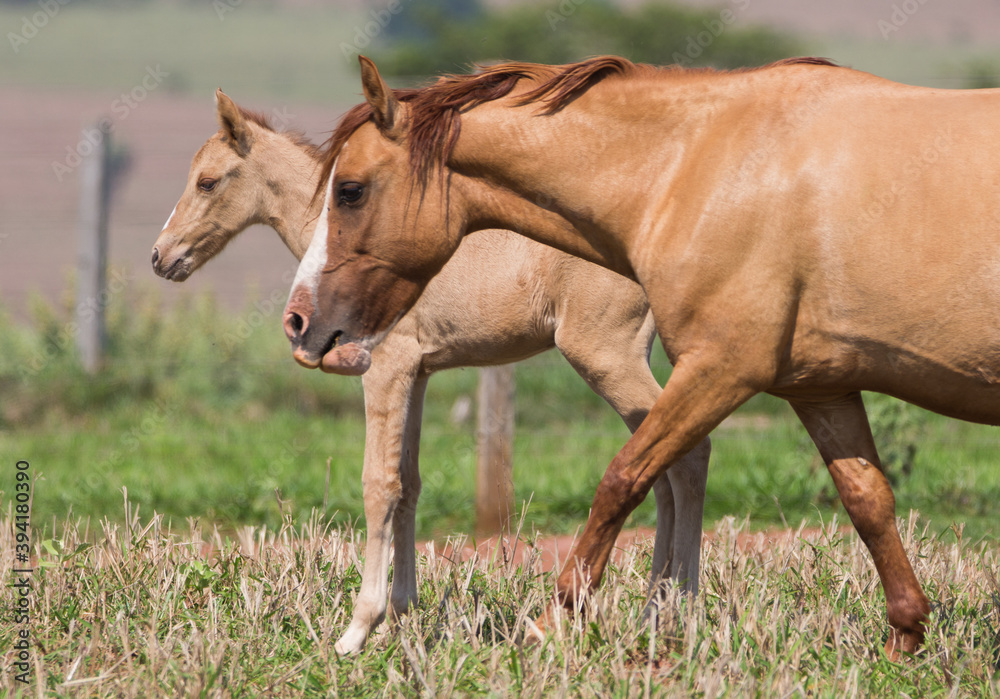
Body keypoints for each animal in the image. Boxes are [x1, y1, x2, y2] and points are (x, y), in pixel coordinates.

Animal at [152, 89, 711, 654]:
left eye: (207, 181)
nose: (160, 256)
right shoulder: (418, 374)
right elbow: (410, 482)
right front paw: (401, 610)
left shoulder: (384, 368)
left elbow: (379, 483)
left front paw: (359, 627)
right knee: (661, 469)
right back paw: (655, 610)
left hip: (605, 356)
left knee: (686, 456)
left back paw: (675, 611)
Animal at [283, 55, 1000, 658]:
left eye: (349, 190)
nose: (299, 322)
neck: (692, 165)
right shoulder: (819, 387)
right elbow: (868, 499)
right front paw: (906, 634)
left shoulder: (720, 367)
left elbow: (623, 478)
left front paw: (551, 619)